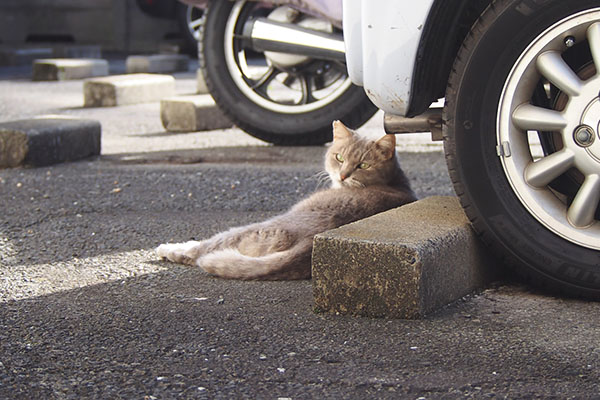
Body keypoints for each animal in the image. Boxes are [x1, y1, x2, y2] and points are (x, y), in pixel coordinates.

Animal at [156, 120, 418, 280]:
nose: (343, 175)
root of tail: (311, 244)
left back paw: (171, 249)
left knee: (203, 248)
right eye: (339, 158)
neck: (393, 181)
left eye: (363, 165)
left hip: (255, 228)